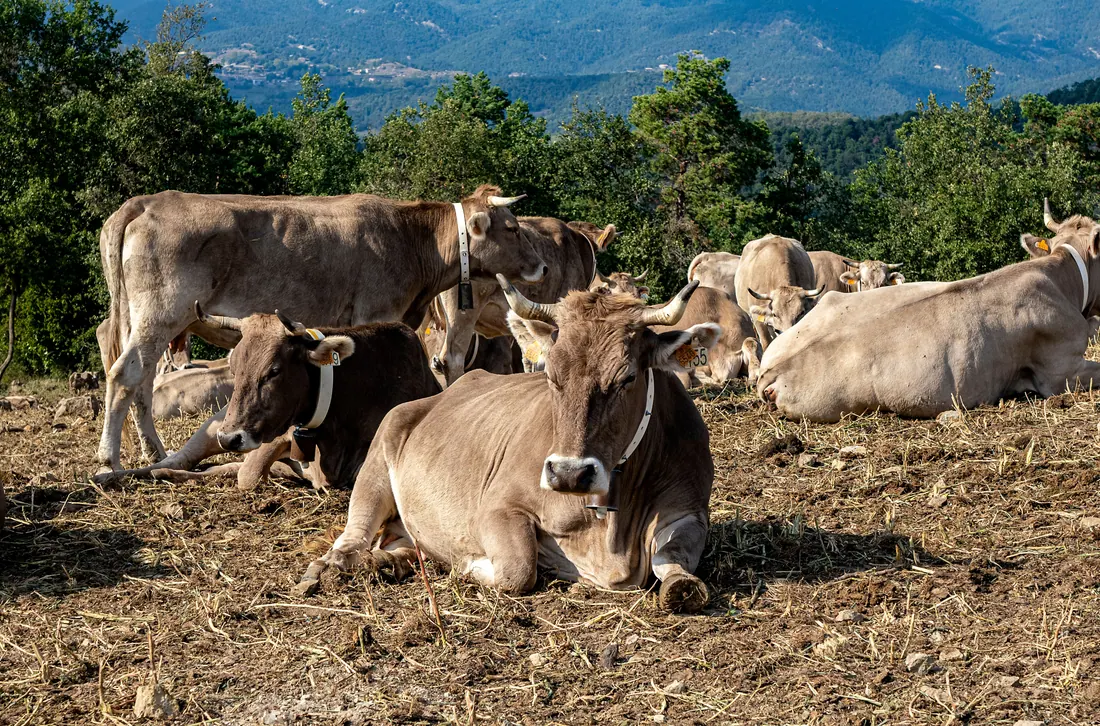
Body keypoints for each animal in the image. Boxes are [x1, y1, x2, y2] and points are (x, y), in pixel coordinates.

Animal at [96, 185, 544, 472]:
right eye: (513, 228)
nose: (541, 265)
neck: (411, 239)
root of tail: (144, 203)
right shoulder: (374, 312)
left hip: (142, 319)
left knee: (143, 380)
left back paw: (152, 451)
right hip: (160, 313)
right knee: (124, 374)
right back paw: (108, 458)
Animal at [295, 276, 719, 613]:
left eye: (627, 378)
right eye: (551, 374)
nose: (569, 474)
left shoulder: (689, 511)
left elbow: (678, 570)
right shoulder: (497, 507)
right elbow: (518, 569)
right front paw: (472, 565)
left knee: (399, 542)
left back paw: (390, 561)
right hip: (375, 468)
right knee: (351, 540)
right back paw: (327, 568)